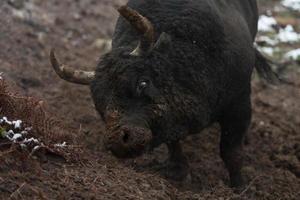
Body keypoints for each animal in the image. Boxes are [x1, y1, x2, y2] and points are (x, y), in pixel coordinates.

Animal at [49, 0, 276, 188]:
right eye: (99, 103)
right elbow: (173, 142)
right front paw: (181, 173)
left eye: (142, 82)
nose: (119, 141)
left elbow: (231, 152)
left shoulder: (239, 103)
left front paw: (239, 186)